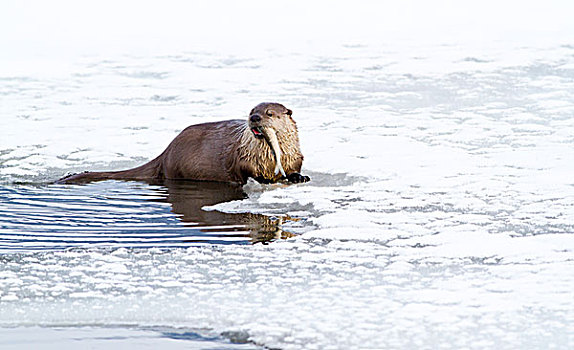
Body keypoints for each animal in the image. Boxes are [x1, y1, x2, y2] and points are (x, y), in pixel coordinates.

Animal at [58, 102, 310, 186]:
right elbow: (246, 171)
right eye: (251, 111)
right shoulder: (243, 156)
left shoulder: (294, 155)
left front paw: (299, 177)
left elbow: (294, 167)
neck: (269, 157)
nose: (255, 118)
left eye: (269, 113)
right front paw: (264, 179)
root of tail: (166, 151)